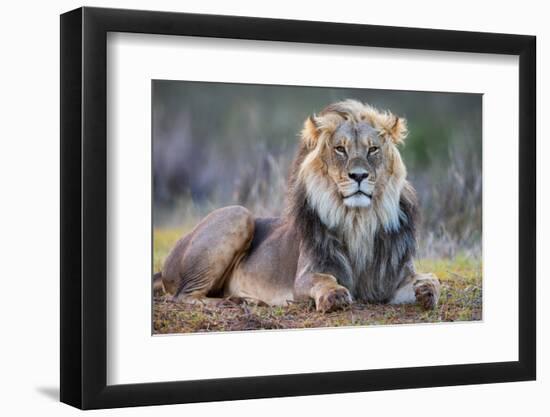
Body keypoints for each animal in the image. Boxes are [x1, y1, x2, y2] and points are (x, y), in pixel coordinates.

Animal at [155, 99, 444, 310]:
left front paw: (426, 289)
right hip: (239, 213)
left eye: (373, 149)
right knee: (183, 296)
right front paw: (335, 295)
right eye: (340, 149)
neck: (359, 220)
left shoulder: (393, 278)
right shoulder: (307, 273)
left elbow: (430, 279)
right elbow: (323, 280)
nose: (359, 175)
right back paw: (233, 302)